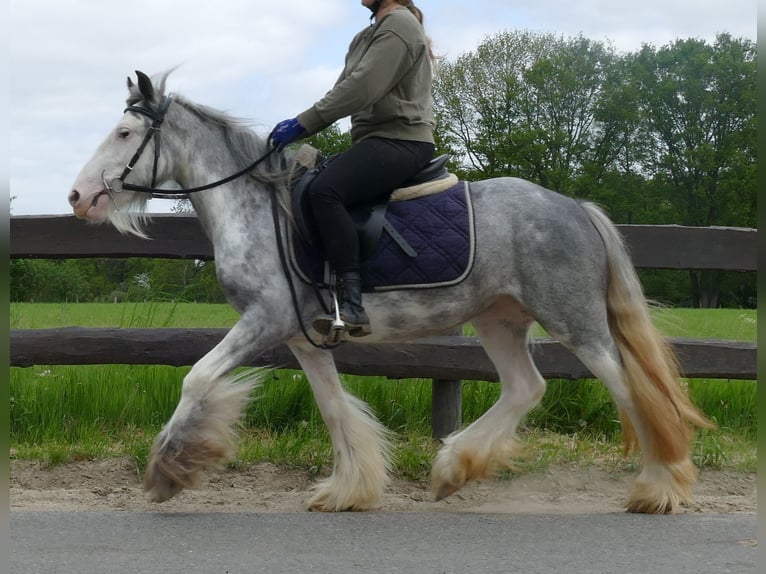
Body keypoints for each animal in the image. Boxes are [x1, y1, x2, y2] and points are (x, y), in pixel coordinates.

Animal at [69, 70, 712, 516]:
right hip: (499, 318)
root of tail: (574, 207)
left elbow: (197, 378)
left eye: (124, 132)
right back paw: (454, 468)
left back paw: (659, 489)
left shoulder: (264, 320)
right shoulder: (302, 336)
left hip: (575, 321)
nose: (78, 197)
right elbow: (333, 407)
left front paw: (168, 469)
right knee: (527, 387)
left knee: (631, 389)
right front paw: (348, 490)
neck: (258, 207)